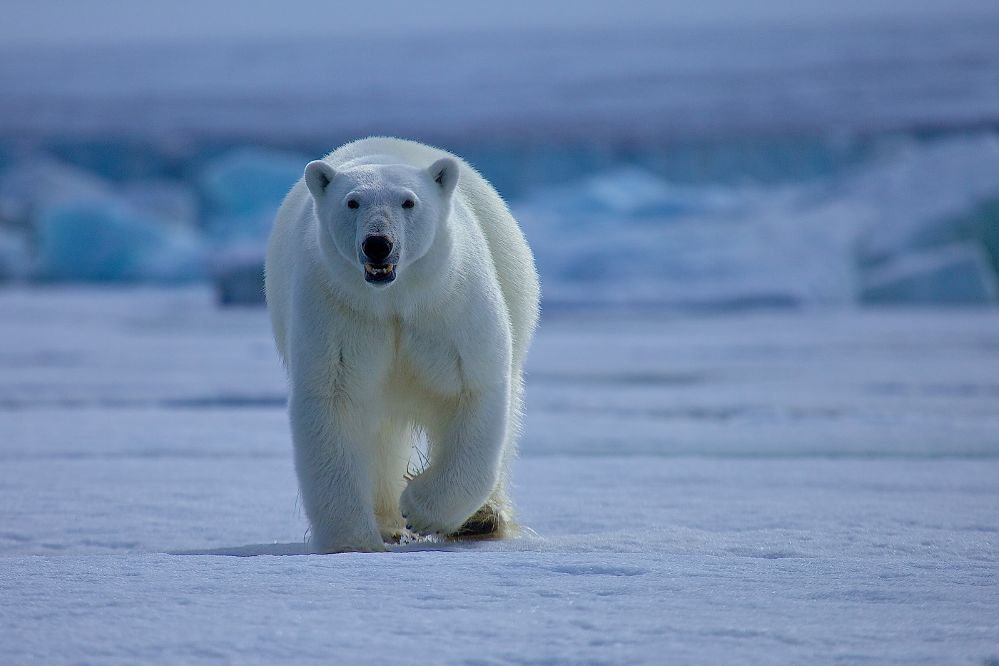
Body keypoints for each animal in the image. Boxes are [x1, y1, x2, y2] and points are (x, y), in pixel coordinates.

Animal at [265, 137, 540, 553]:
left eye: (408, 202)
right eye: (352, 202)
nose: (378, 244)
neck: (393, 299)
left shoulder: (447, 305)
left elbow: (472, 388)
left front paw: (421, 509)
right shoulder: (339, 310)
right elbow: (333, 401)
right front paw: (353, 541)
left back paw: (481, 520)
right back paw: (387, 524)